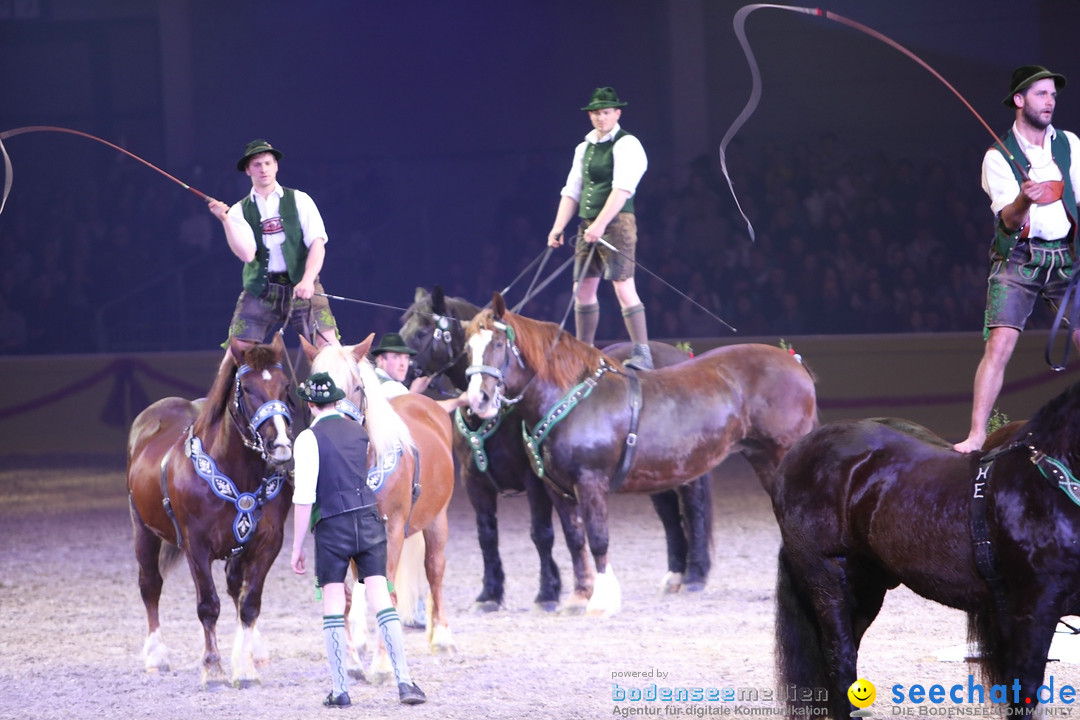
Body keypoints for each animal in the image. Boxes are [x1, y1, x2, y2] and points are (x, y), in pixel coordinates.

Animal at [126, 334, 293, 690]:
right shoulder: (196, 546)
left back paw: (254, 650)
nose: (281, 446)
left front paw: (245, 668)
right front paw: (213, 668)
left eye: (285, 385)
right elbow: (208, 606)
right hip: (142, 529)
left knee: (235, 588)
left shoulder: (268, 543)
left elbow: (249, 603)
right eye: (247, 388)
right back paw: (156, 655)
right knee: (150, 584)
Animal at [401, 287, 712, 613]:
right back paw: (675, 574)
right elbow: (487, 536)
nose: (400, 371)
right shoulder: (474, 482)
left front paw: (548, 592)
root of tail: (682, 354)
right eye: (403, 328)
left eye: (422, 331)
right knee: (669, 516)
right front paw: (490, 594)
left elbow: (542, 534)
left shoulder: (536, 481)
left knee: (694, 510)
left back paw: (695, 575)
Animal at [464, 295, 816, 617]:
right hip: (761, 459)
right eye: (467, 348)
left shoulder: (590, 482)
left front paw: (602, 600)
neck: (571, 396)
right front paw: (578, 597)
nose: (478, 399)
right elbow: (575, 540)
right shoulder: (556, 488)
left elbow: (598, 538)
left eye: (498, 343)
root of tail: (794, 362)